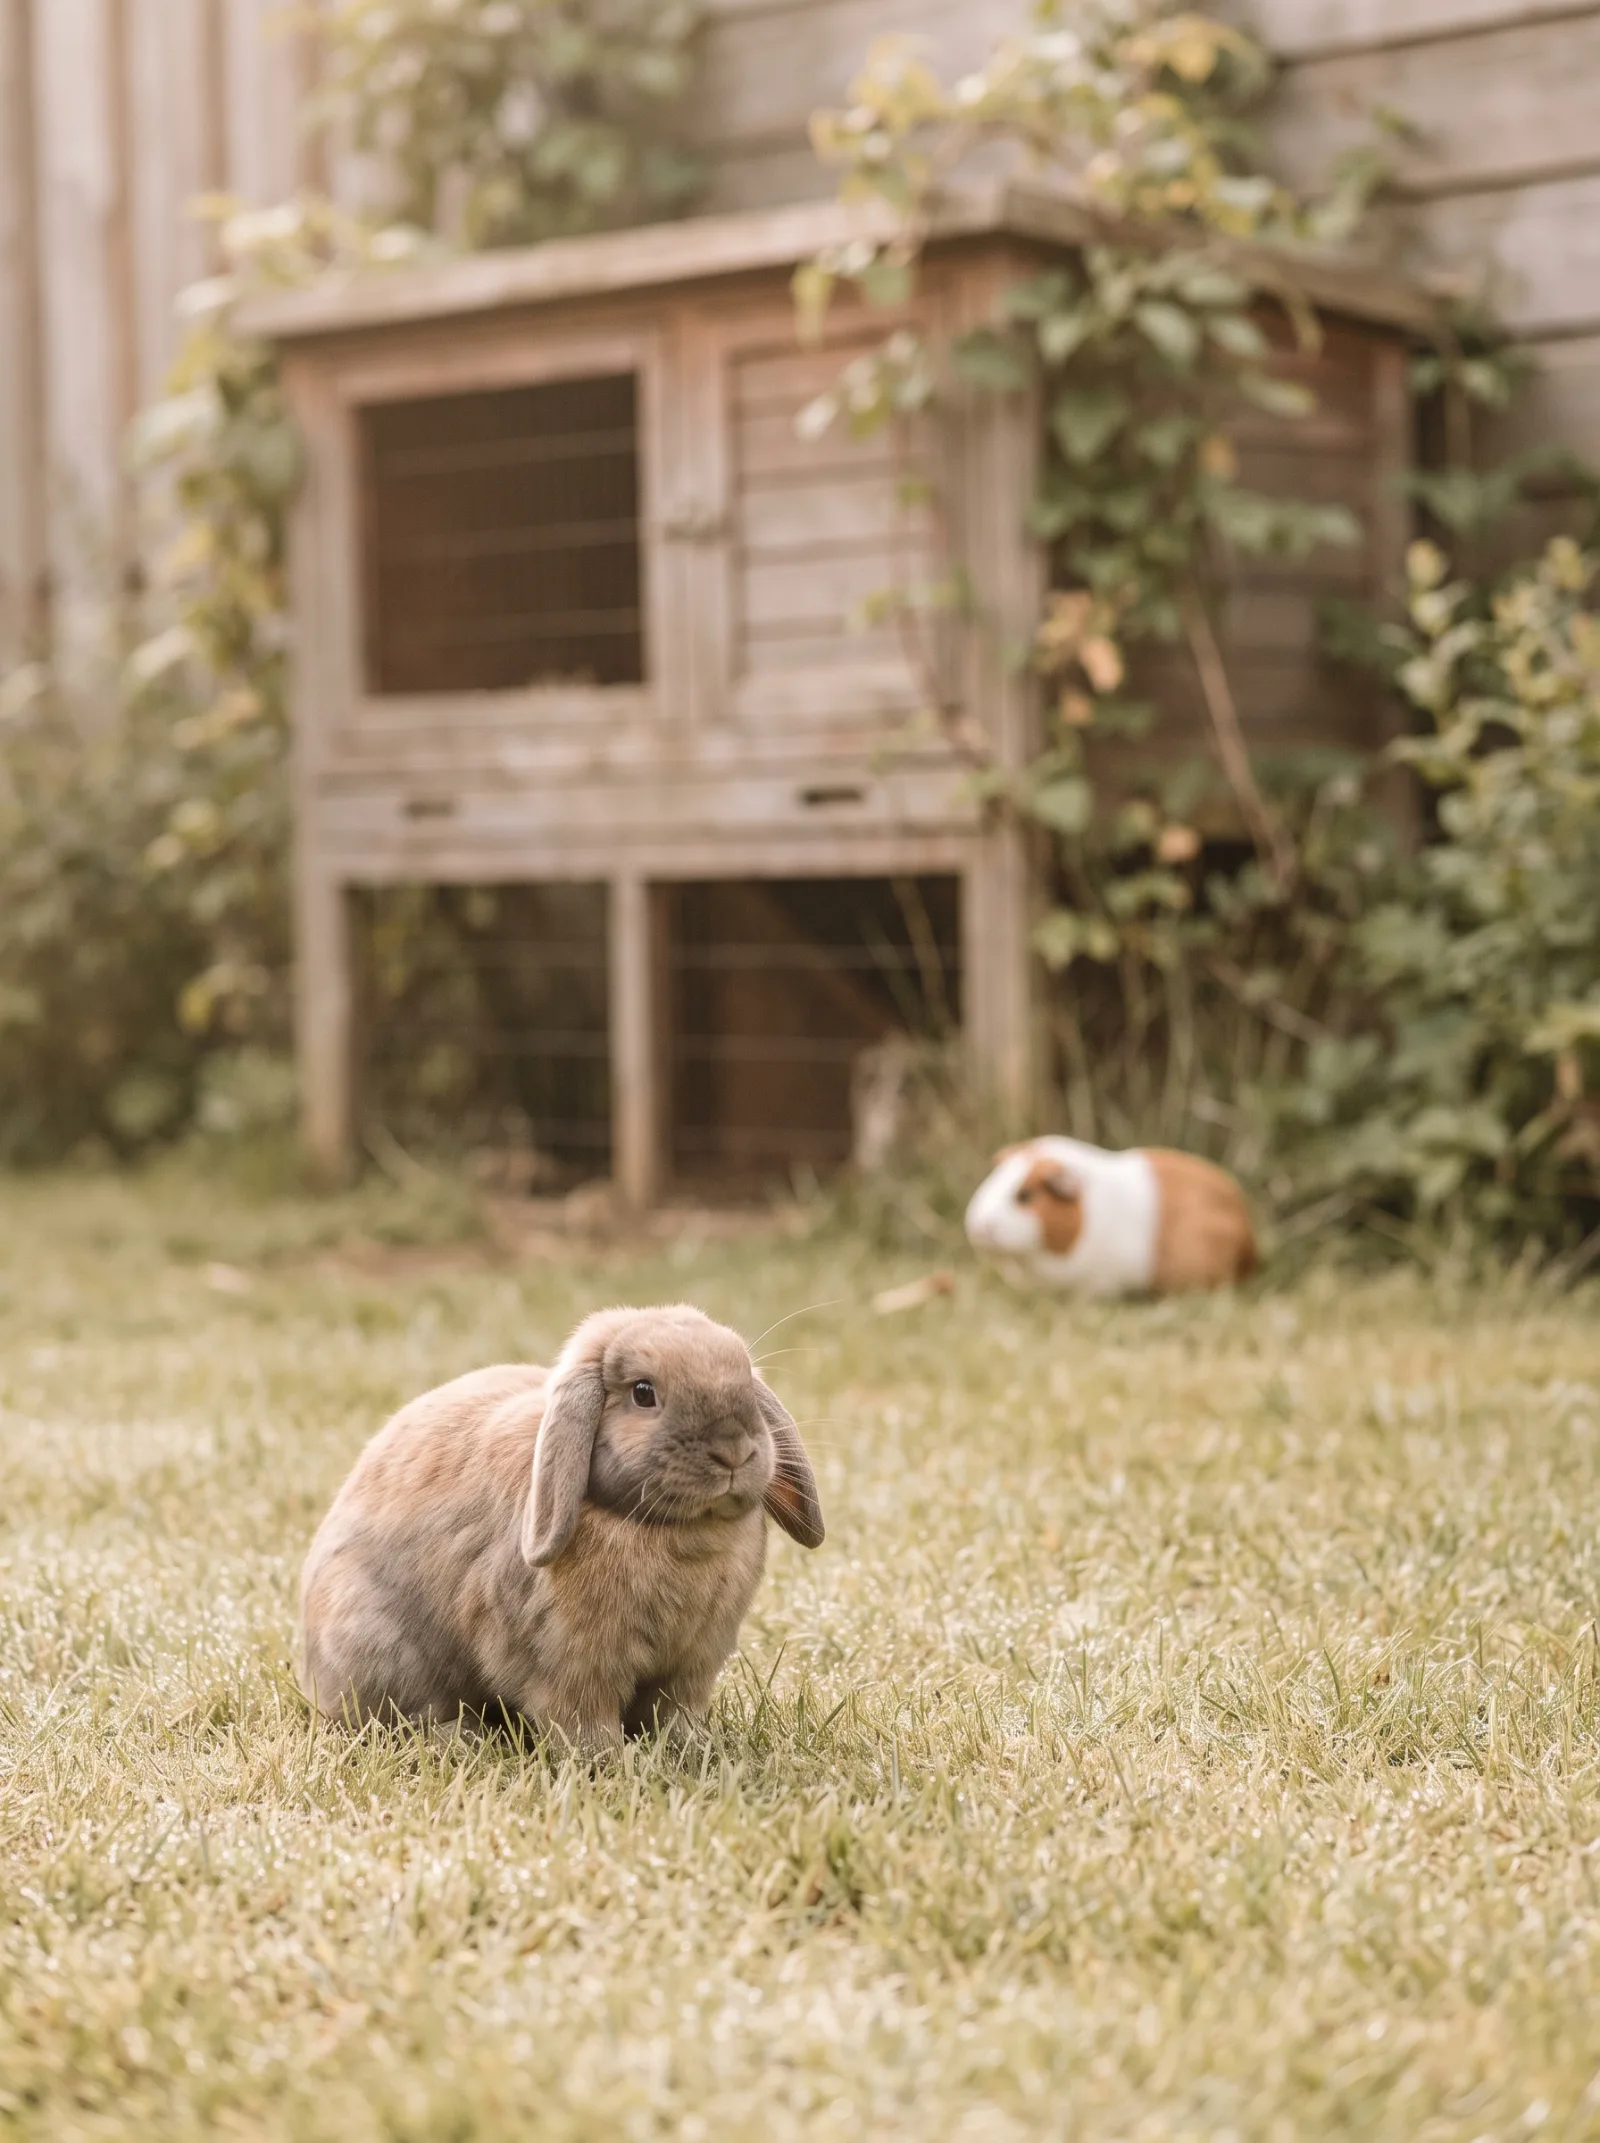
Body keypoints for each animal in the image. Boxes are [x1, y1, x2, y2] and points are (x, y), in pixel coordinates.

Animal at [296, 1303, 824, 1747]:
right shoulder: (568, 1666)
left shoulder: (692, 1664)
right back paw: (463, 1738)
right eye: (643, 1392)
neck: (671, 1529)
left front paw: (692, 1748)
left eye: (745, 1381)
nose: (734, 1450)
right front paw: (607, 1761)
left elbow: (674, 1713)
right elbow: (580, 1719)